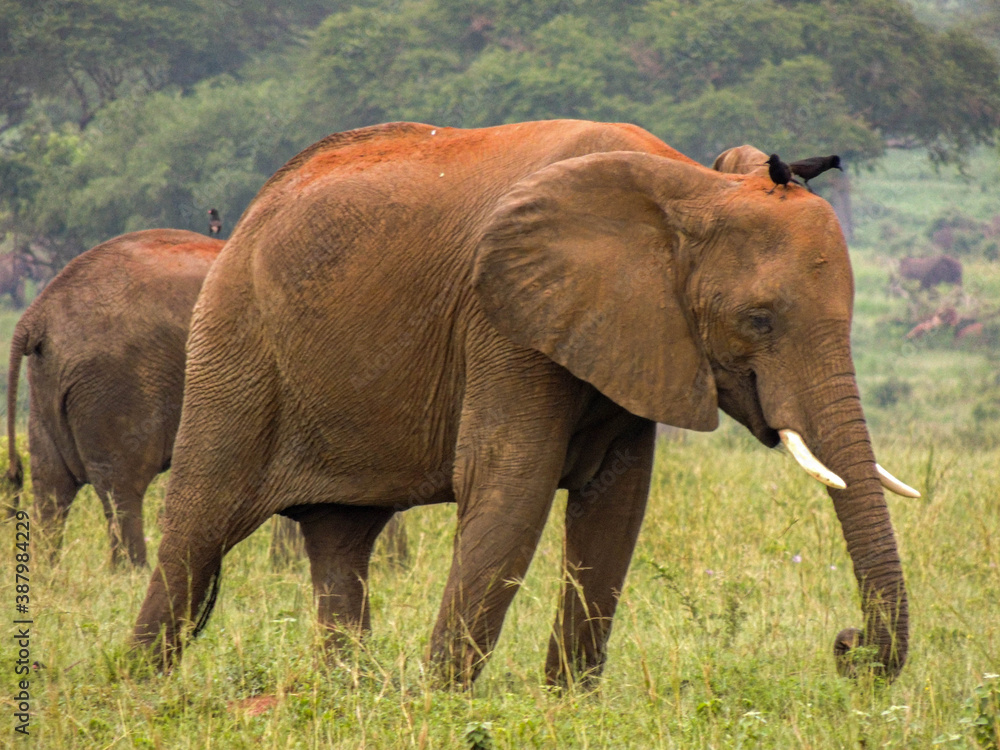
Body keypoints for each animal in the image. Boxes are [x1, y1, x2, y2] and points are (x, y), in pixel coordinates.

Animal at [5, 230, 223, 566]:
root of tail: (37, 312)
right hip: (115, 382)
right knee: (121, 487)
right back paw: (133, 572)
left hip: (48, 382)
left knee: (52, 485)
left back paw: (46, 570)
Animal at [133, 120, 916, 687]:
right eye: (759, 320)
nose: (848, 646)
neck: (691, 186)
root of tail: (249, 213)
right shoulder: (504, 319)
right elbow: (512, 487)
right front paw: (443, 701)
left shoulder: (630, 331)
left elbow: (615, 507)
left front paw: (565, 701)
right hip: (235, 340)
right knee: (198, 531)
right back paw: (141, 689)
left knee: (339, 541)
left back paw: (342, 694)